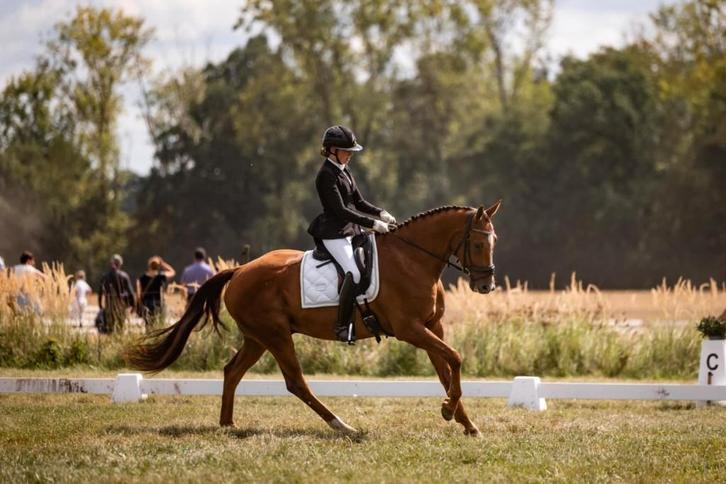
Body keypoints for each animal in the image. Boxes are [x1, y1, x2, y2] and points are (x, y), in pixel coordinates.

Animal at [125, 202, 500, 436]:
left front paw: (464, 422)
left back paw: (227, 424)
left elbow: (446, 371)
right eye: (479, 245)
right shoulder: (411, 329)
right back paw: (342, 426)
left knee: (232, 371)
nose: (486, 286)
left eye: (493, 241)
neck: (412, 259)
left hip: (258, 338)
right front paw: (449, 411)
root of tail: (240, 270)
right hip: (276, 336)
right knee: (296, 382)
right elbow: (456, 358)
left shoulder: (431, 327)